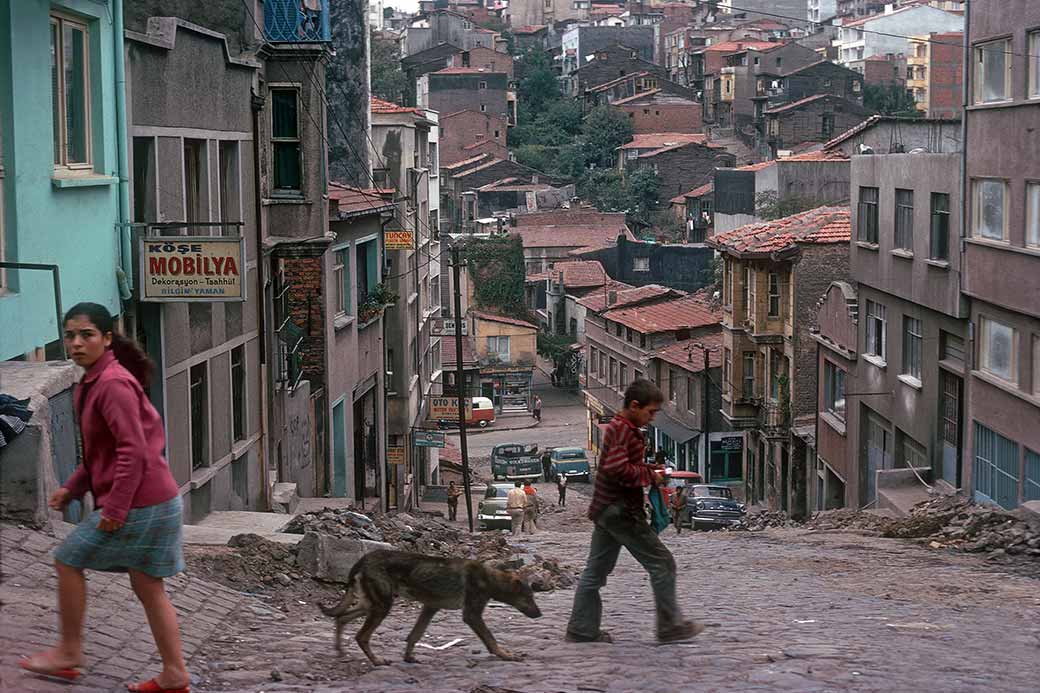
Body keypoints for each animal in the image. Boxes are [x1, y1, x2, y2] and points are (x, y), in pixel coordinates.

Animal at [318, 549, 544, 661]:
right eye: (529, 596)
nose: (540, 614)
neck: (490, 578)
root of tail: (363, 560)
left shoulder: (430, 608)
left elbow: (414, 635)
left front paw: (409, 657)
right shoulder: (471, 615)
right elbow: (491, 640)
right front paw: (506, 655)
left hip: (372, 605)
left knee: (341, 618)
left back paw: (340, 651)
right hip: (381, 606)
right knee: (361, 636)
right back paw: (376, 661)